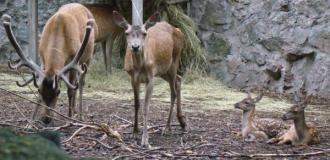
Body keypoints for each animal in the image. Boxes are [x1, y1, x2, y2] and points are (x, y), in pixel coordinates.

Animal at [113, 10, 186, 147]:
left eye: (144, 33)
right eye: (127, 33)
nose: (135, 47)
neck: (139, 67)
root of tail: (179, 30)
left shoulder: (150, 78)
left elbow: (146, 107)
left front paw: (145, 140)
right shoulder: (133, 78)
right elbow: (136, 104)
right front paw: (135, 131)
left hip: (175, 60)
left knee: (173, 91)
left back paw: (167, 128)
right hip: (164, 70)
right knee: (178, 79)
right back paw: (182, 122)